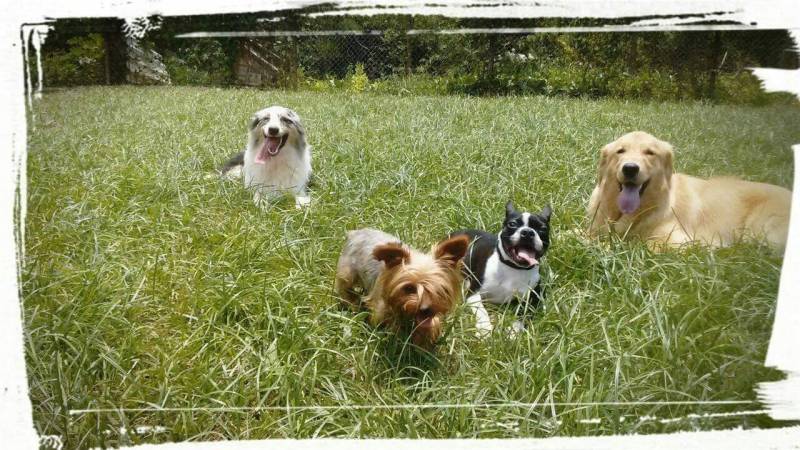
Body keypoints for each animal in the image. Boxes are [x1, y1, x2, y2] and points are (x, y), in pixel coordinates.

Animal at [336, 229, 468, 348]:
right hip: (347, 273)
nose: (425, 309)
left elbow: (430, 325)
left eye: (440, 289)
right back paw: (352, 303)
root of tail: (355, 232)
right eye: (409, 288)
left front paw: (423, 342)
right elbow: (390, 326)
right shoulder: (381, 308)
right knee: (344, 288)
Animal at [450, 201, 552, 338]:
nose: (527, 232)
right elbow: (481, 311)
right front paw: (484, 329)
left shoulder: (532, 301)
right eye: (512, 224)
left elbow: (521, 316)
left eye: (543, 229)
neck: (514, 267)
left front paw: (513, 332)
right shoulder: (473, 293)